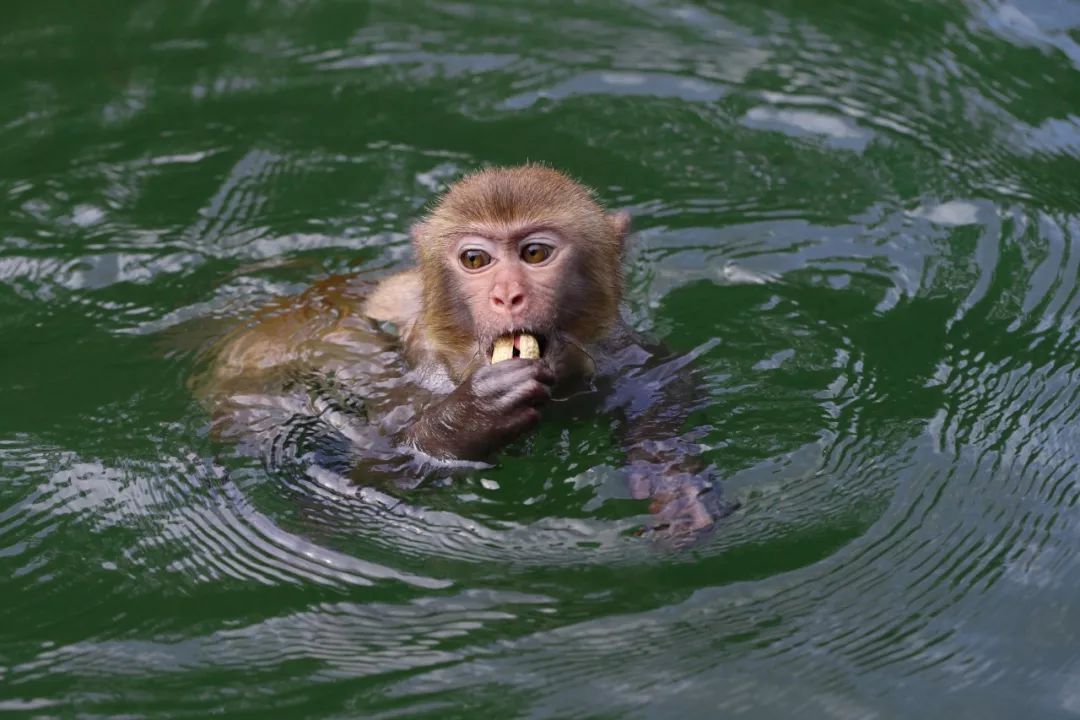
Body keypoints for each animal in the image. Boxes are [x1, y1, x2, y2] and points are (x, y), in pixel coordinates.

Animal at [194, 165, 734, 546]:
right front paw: (472, 417)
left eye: (535, 254)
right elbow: (355, 484)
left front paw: (675, 488)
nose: (507, 296)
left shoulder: (624, 358)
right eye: (476, 259)